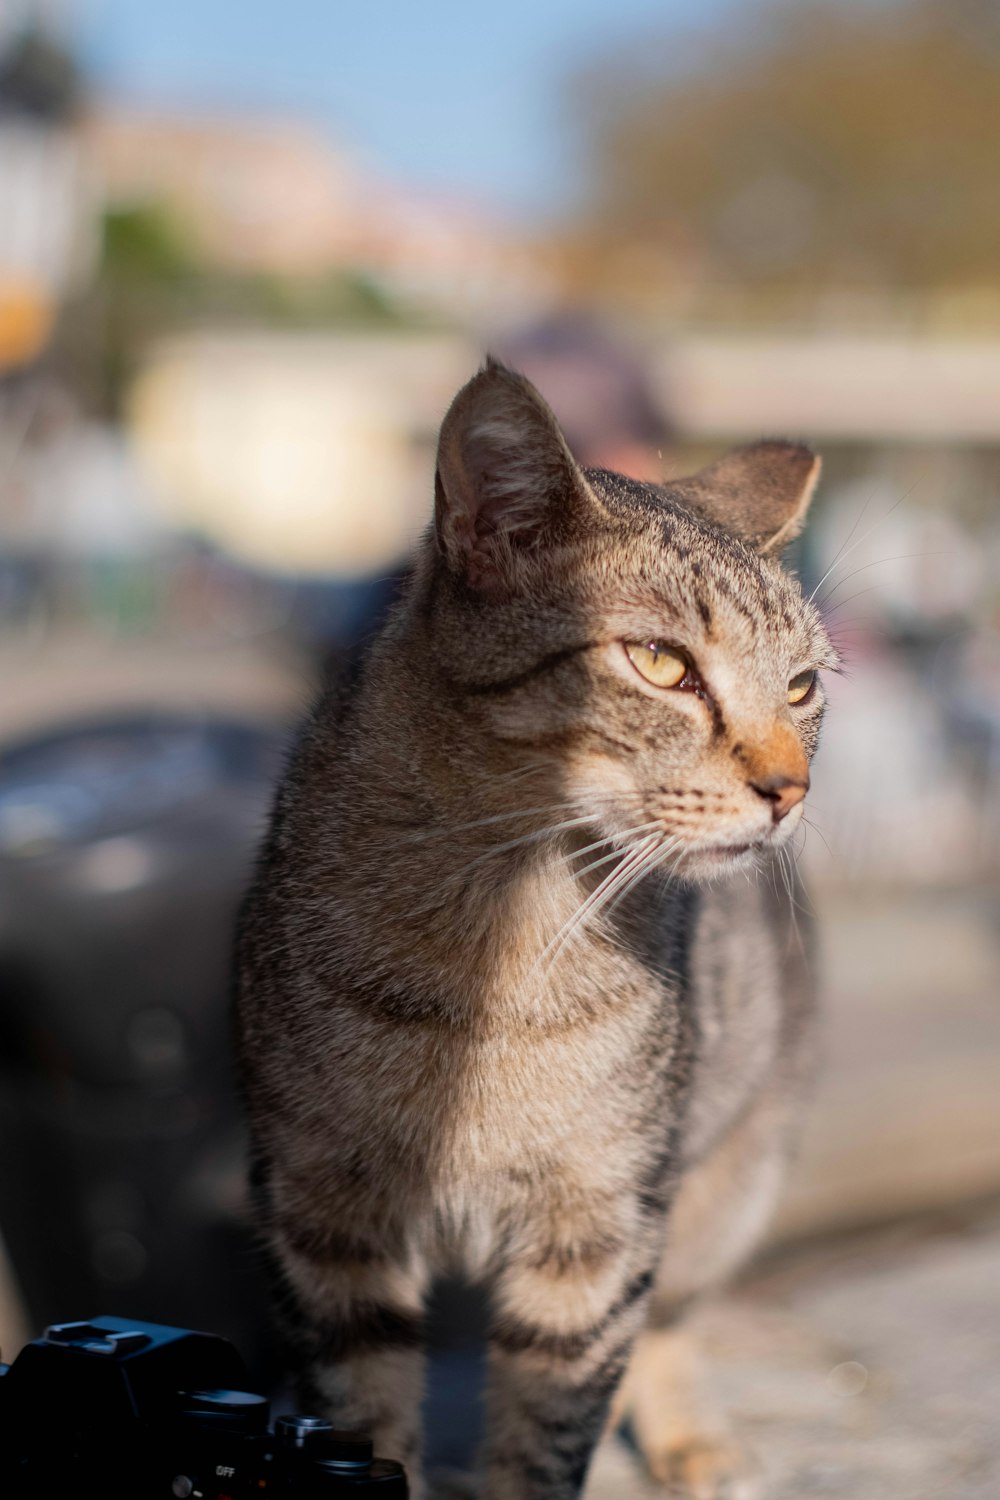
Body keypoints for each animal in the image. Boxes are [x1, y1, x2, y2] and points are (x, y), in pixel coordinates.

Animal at [236, 363, 839, 1500]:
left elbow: (550, 1424)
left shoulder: (598, 1230)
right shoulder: (323, 1209)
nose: (790, 788)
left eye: (801, 685)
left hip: (729, 1176)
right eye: (659, 664)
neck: (500, 932)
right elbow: (363, 1411)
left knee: (671, 1320)